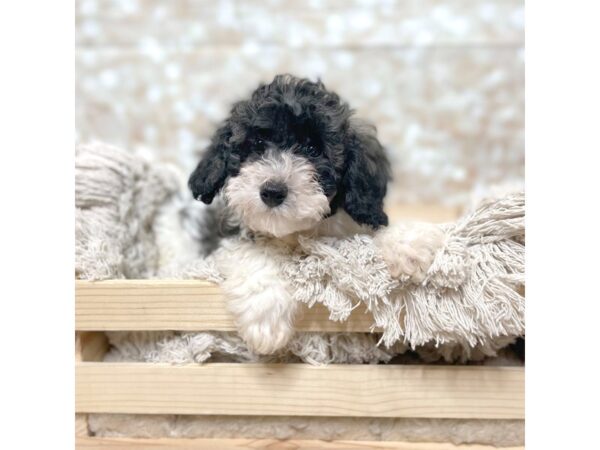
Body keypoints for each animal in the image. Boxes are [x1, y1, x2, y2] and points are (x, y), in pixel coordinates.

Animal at [190, 74, 438, 356]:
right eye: (258, 144)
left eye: (312, 149)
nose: (273, 191)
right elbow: (251, 253)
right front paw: (266, 317)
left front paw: (408, 244)